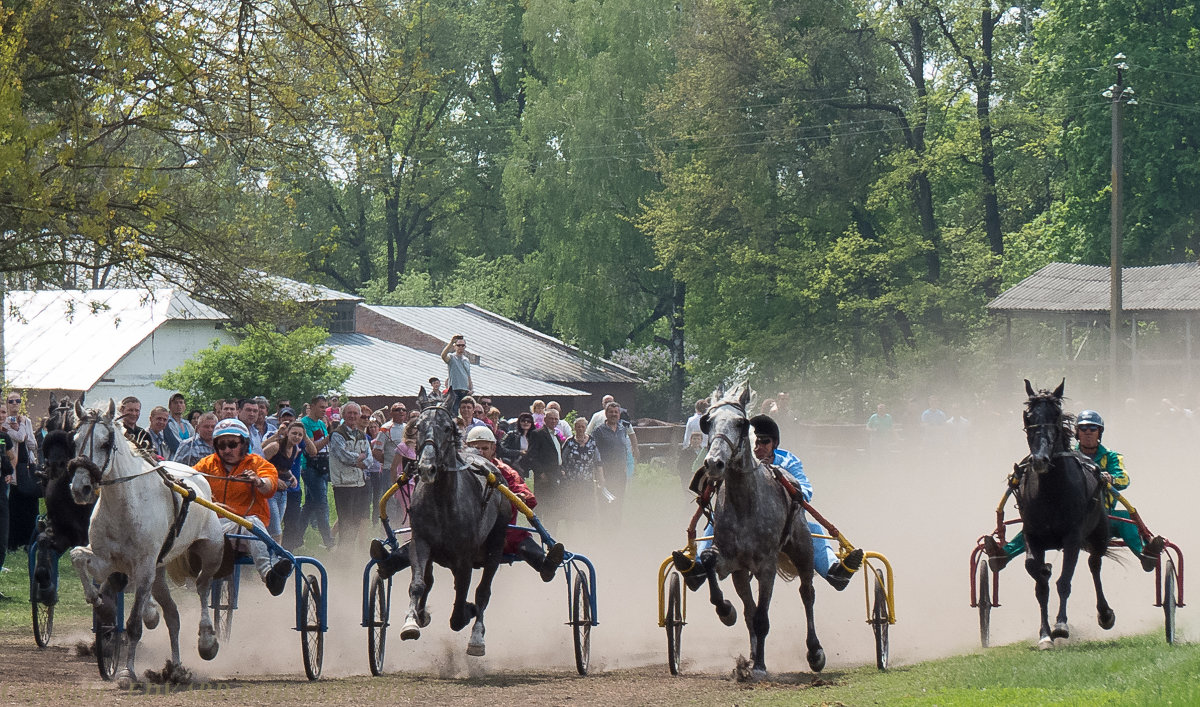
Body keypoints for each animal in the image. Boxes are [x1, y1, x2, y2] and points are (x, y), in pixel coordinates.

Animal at [31, 393, 90, 604]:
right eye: (48, 424)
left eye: (74, 428)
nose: (56, 464)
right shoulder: (61, 532)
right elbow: (43, 540)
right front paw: (46, 589)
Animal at [70, 400, 226, 686]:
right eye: (75, 441)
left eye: (105, 443)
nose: (81, 488)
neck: (125, 504)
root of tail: (197, 474)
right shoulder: (105, 560)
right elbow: (77, 556)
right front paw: (97, 599)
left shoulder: (144, 566)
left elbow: (133, 625)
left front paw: (127, 672)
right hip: (160, 572)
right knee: (173, 616)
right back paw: (175, 668)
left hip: (211, 551)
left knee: (203, 587)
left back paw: (207, 641)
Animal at [393, 388, 506, 652]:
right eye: (419, 426)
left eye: (446, 427)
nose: (427, 468)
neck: (442, 502)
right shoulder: (421, 542)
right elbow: (418, 583)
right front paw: (412, 621)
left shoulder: (464, 558)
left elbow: (459, 609)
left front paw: (468, 612)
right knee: (430, 579)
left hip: (496, 543)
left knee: (483, 590)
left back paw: (476, 634)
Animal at [696, 384, 825, 681]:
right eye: (707, 421)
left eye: (741, 423)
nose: (714, 463)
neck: (745, 504)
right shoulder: (733, 562)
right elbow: (709, 562)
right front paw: (725, 610)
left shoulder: (767, 565)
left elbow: (762, 618)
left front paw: (760, 666)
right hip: (743, 573)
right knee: (749, 610)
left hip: (802, 548)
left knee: (807, 593)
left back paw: (814, 652)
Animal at [1022, 376, 1113, 648]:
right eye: (1028, 416)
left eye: (1056, 413)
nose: (1040, 459)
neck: (1050, 493)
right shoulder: (1032, 536)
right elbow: (1040, 583)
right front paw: (1044, 635)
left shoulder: (1072, 537)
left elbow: (1064, 582)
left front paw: (1060, 626)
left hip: (1099, 533)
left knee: (1095, 564)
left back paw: (1105, 614)